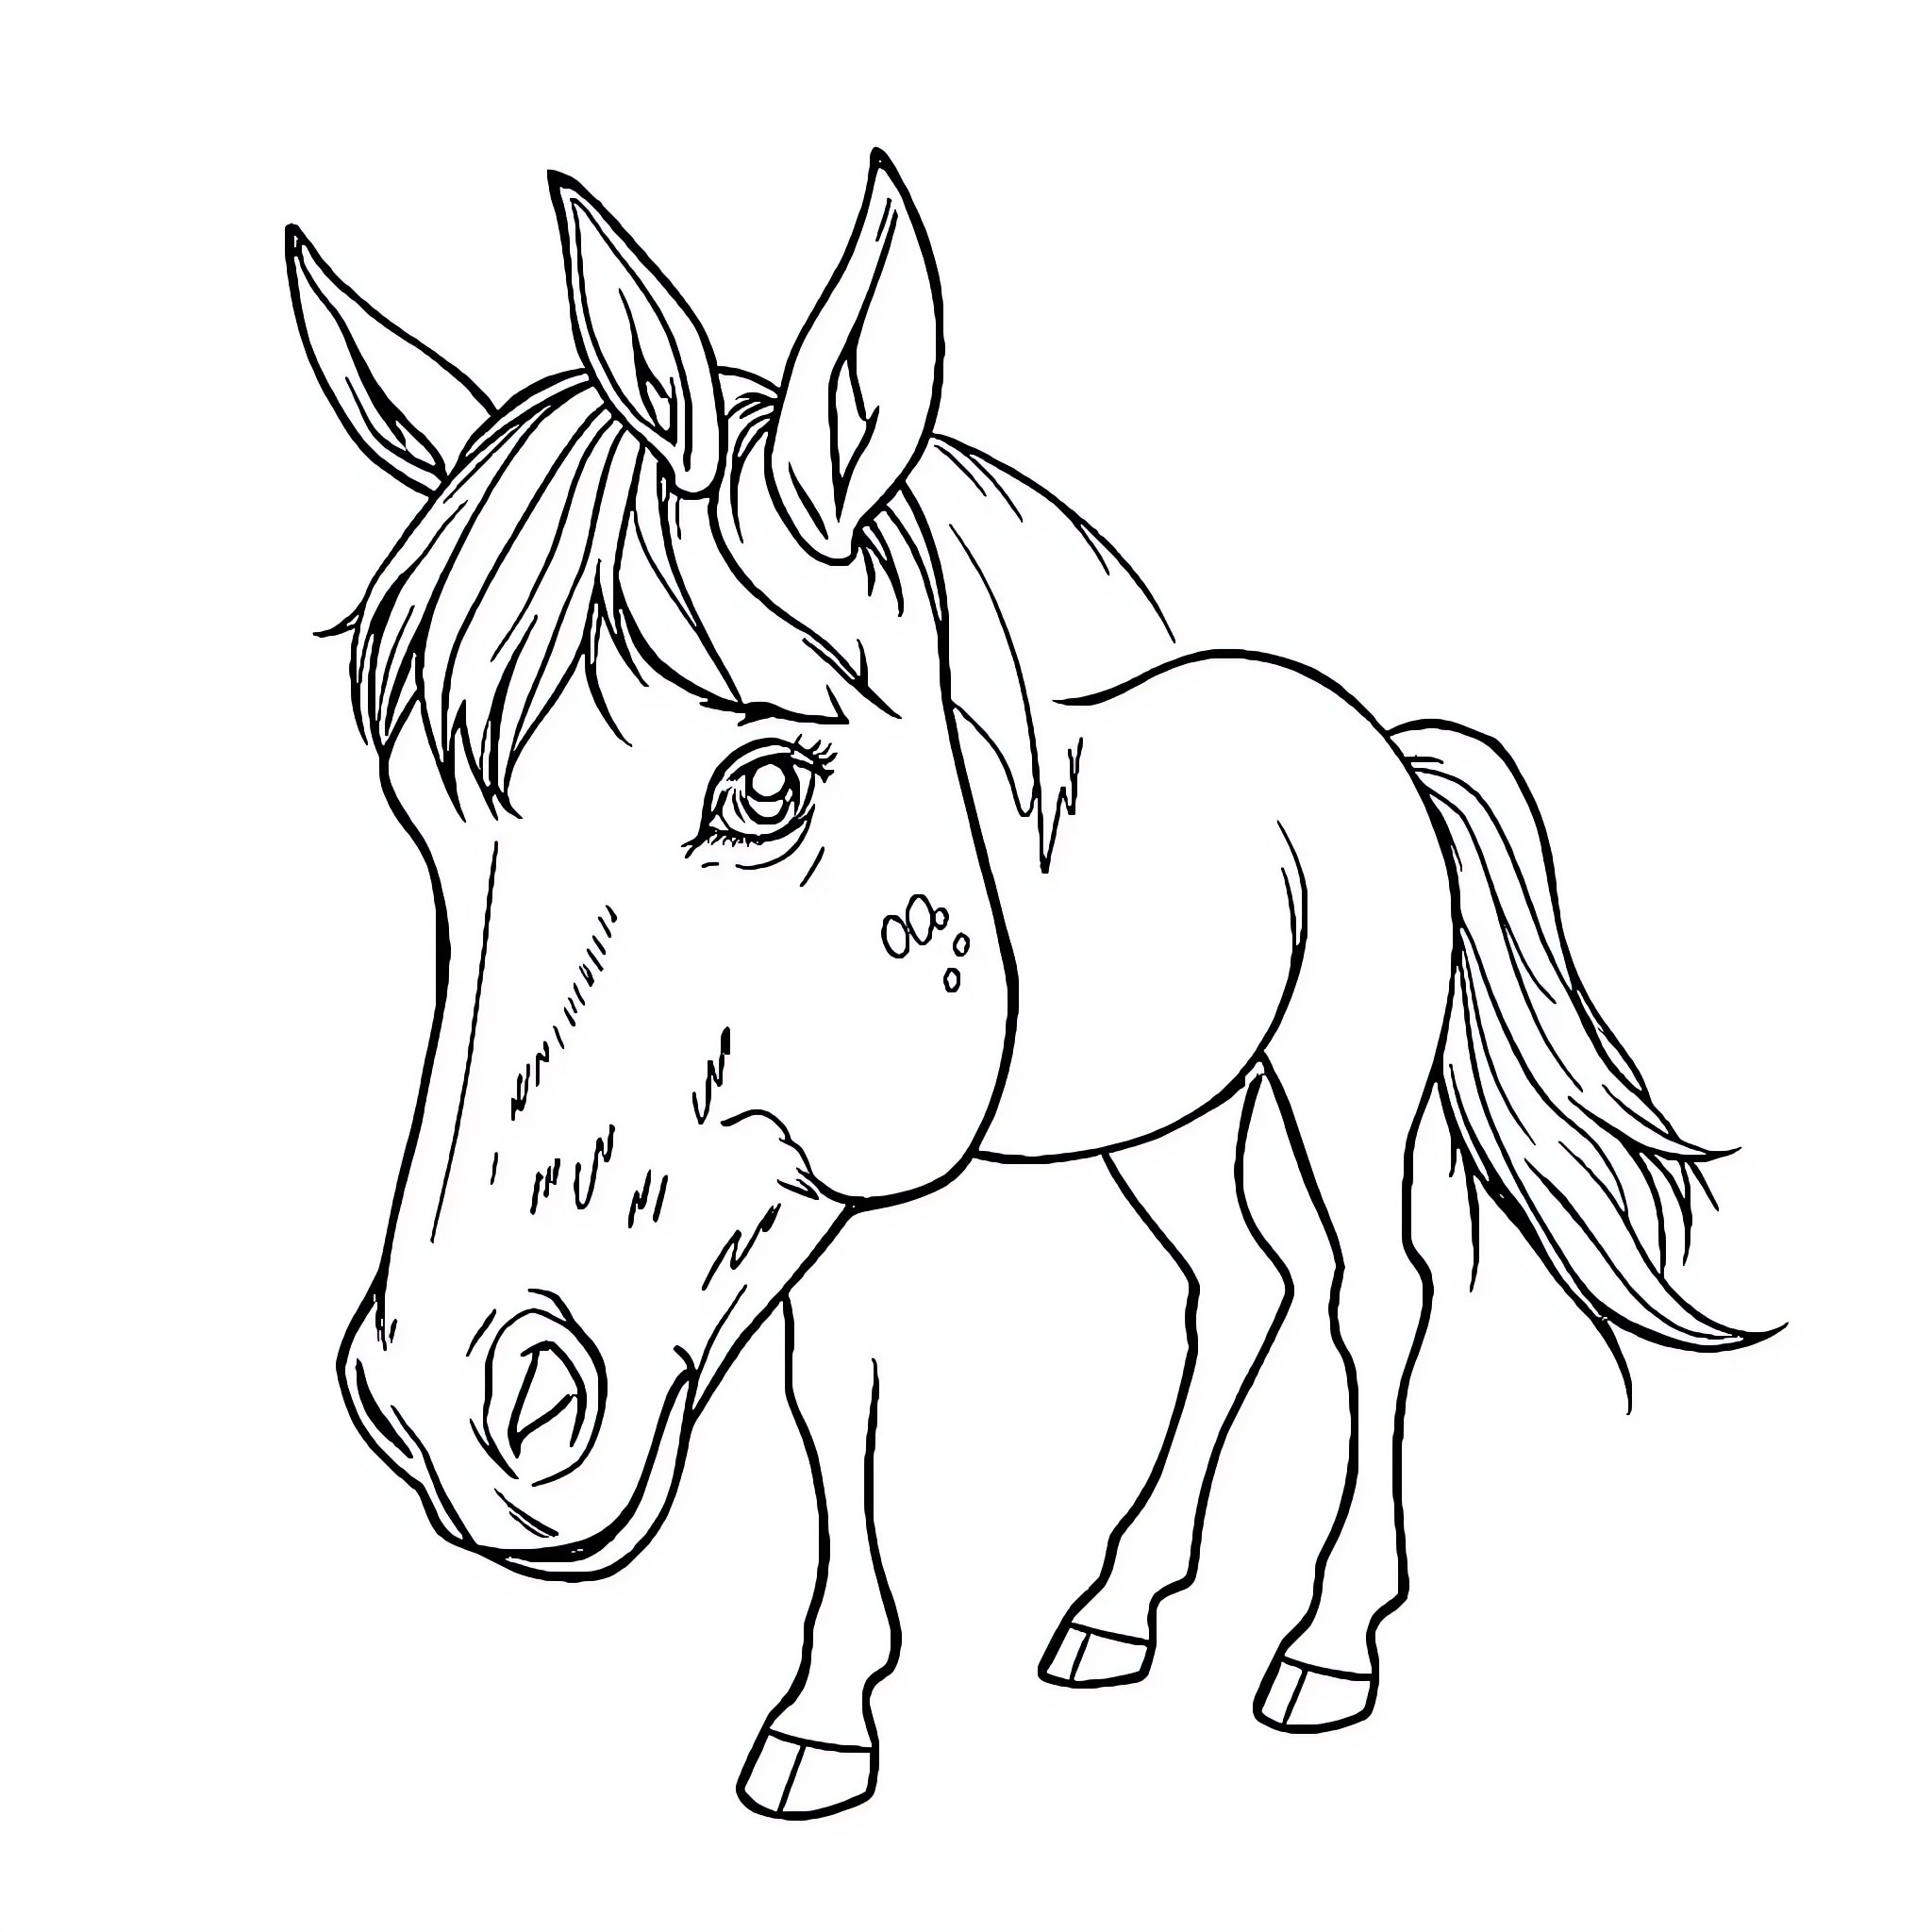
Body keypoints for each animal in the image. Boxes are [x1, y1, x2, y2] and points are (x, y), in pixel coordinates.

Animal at [286, 153, 1760, 1820]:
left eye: (766, 787)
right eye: (422, 815)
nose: (450, 1417)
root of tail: (1374, 739)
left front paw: (824, 1721)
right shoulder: (820, 1188)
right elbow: (833, 1398)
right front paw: (830, 1708)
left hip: (1344, 1085)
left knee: (1376, 1294)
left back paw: (1326, 1646)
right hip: (1172, 1115)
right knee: (1246, 1285)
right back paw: (1117, 1609)